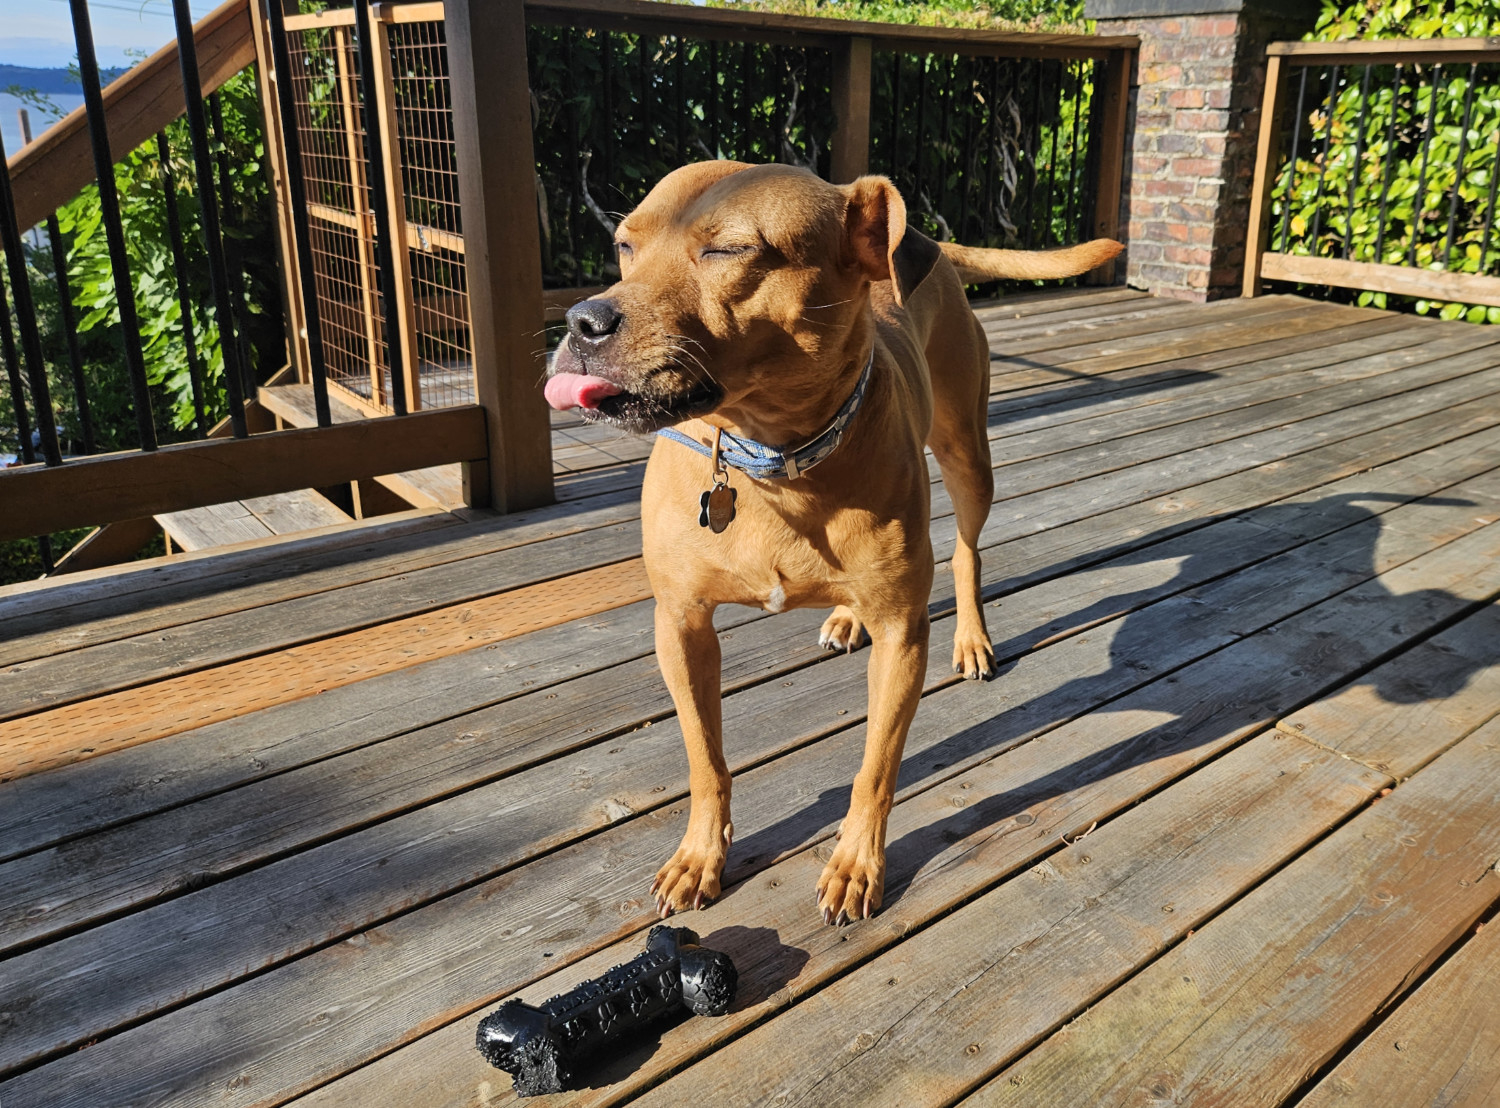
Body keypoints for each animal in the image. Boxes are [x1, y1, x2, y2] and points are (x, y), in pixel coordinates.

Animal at [546, 162, 1122, 929]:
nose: (583, 321)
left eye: (728, 250)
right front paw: (701, 855)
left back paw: (972, 637)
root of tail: (928, 245)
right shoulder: (681, 626)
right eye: (624, 246)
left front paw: (855, 864)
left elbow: (875, 769)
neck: (772, 458)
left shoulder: (903, 638)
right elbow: (705, 760)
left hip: (968, 457)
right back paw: (847, 616)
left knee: (968, 550)